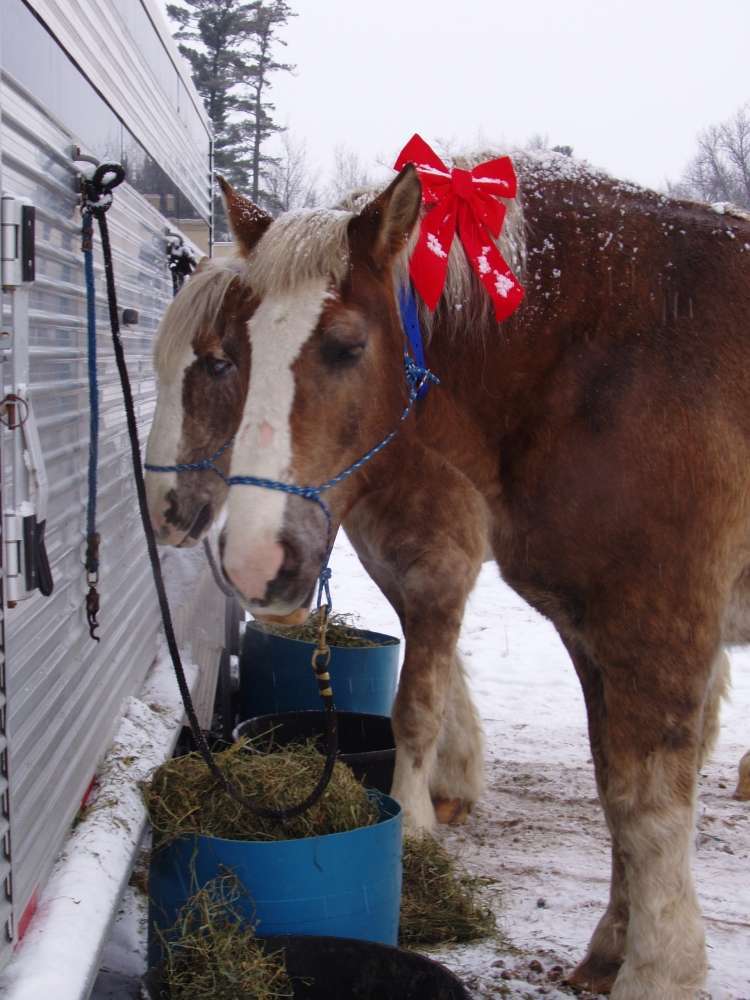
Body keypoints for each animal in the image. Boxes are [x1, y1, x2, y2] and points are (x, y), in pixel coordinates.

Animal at [145, 150, 750, 1000]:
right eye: (241, 352)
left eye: (345, 346)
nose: (253, 560)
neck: (611, 363)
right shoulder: (577, 628)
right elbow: (611, 788)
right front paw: (610, 945)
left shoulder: (651, 624)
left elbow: (643, 803)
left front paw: (656, 969)